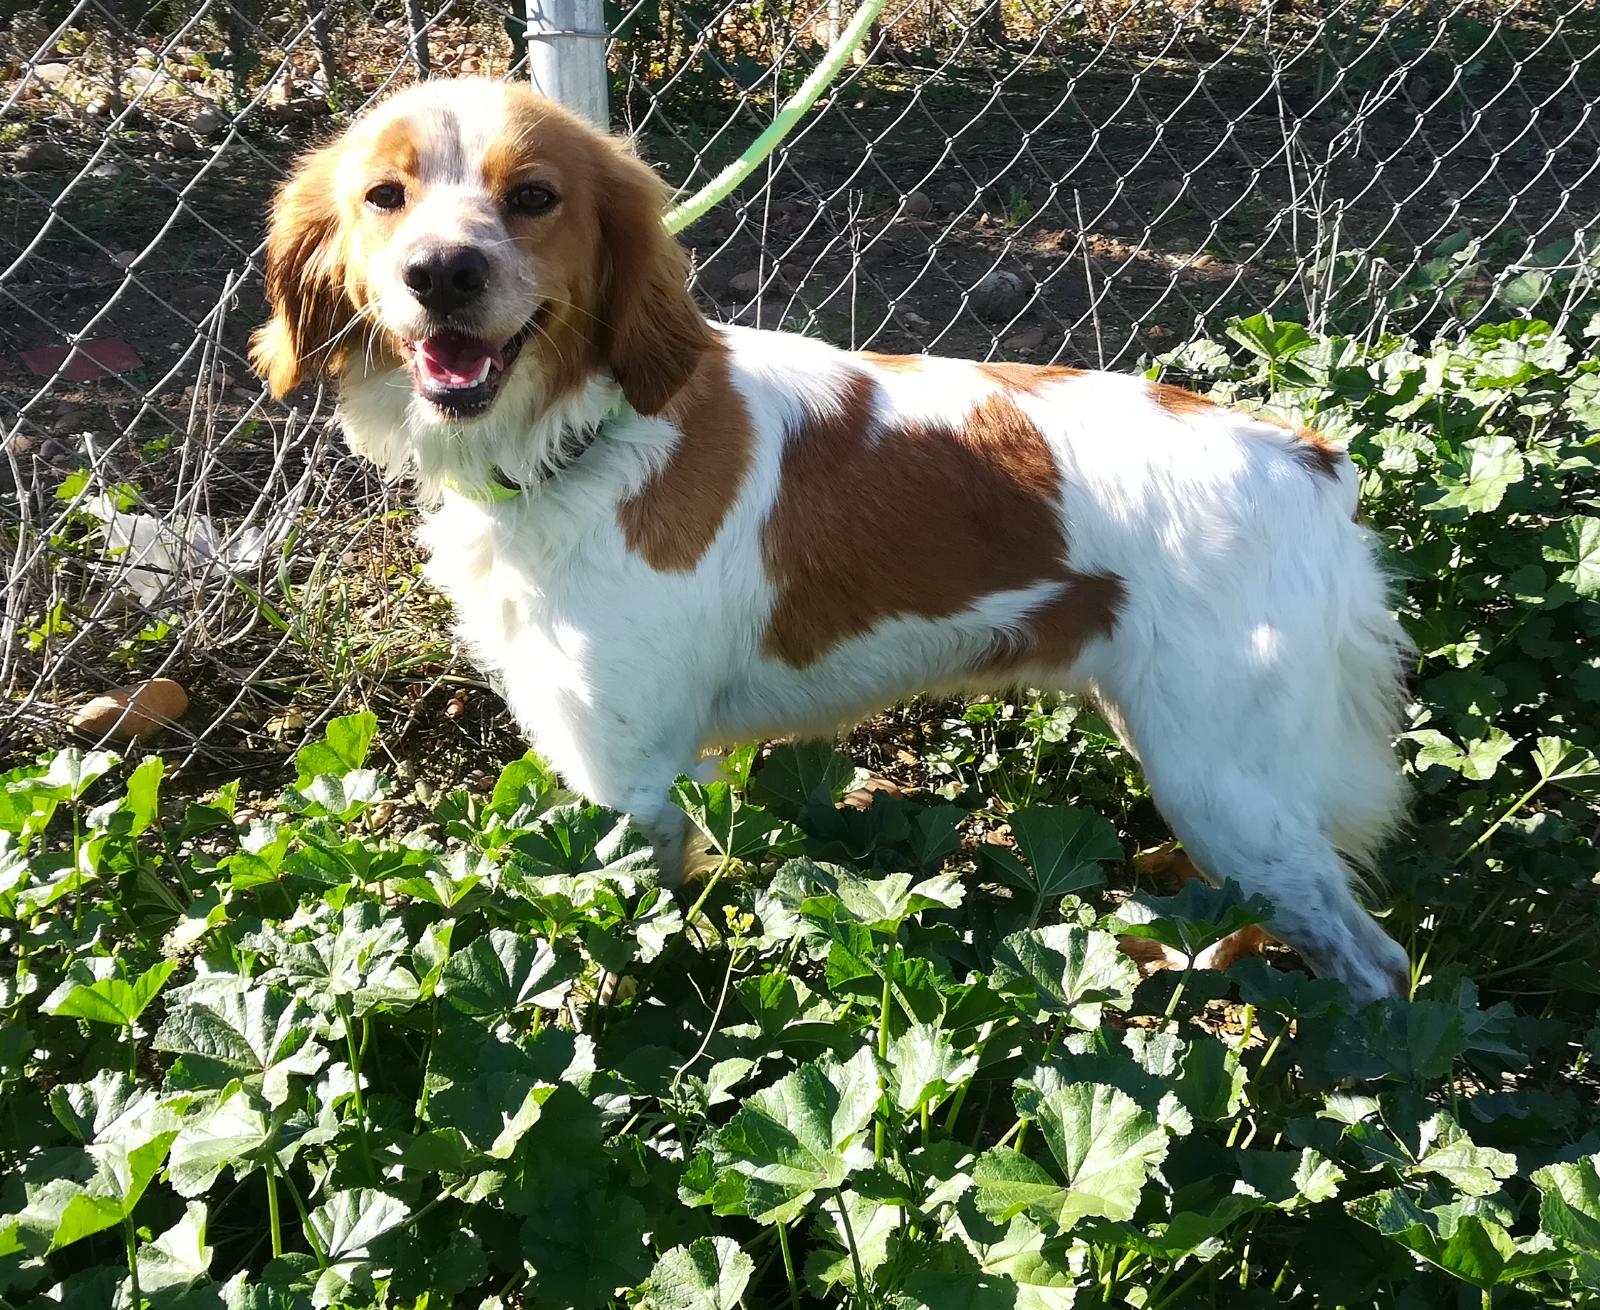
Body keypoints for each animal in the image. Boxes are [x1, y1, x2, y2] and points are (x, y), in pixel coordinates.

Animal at [251, 78, 1413, 1004]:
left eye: (533, 196)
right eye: (384, 197)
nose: (441, 272)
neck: (590, 436)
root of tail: (1308, 454)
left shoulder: (630, 783)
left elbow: (608, 957)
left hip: (1225, 786)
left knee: (1378, 962)